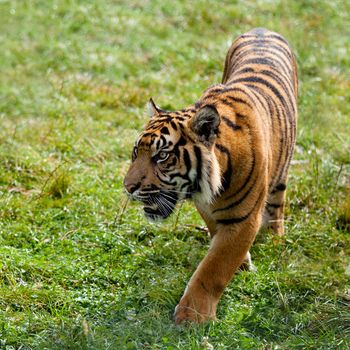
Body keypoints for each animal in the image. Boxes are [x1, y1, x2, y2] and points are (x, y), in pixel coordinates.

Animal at [123, 28, 298, 324]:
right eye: (137, 152)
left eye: (162, 156)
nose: (128, 187)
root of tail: (262, 29)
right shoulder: (207, 208)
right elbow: (217, 240)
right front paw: (242, 263)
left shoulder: (244, 219)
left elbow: (213, 267)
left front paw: (192, 317)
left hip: (282, 171)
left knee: (277, 202)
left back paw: (276, 236)